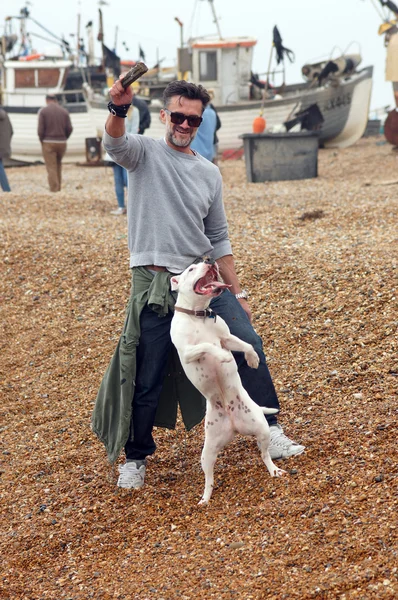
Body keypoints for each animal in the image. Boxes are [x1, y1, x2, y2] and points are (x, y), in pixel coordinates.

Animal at [169, 260, 284, 504]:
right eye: (191, 269)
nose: (208, 258)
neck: (199, 314)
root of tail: (234, 426)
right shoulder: (188, 352)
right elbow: (207, 346)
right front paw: (222, 356)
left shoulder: (227, 338)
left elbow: (244, 344)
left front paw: (252, 359)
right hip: (207, 453)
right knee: (209, 479)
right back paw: (204, 499)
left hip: (262, 430)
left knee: (265, 455)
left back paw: (274, 470)